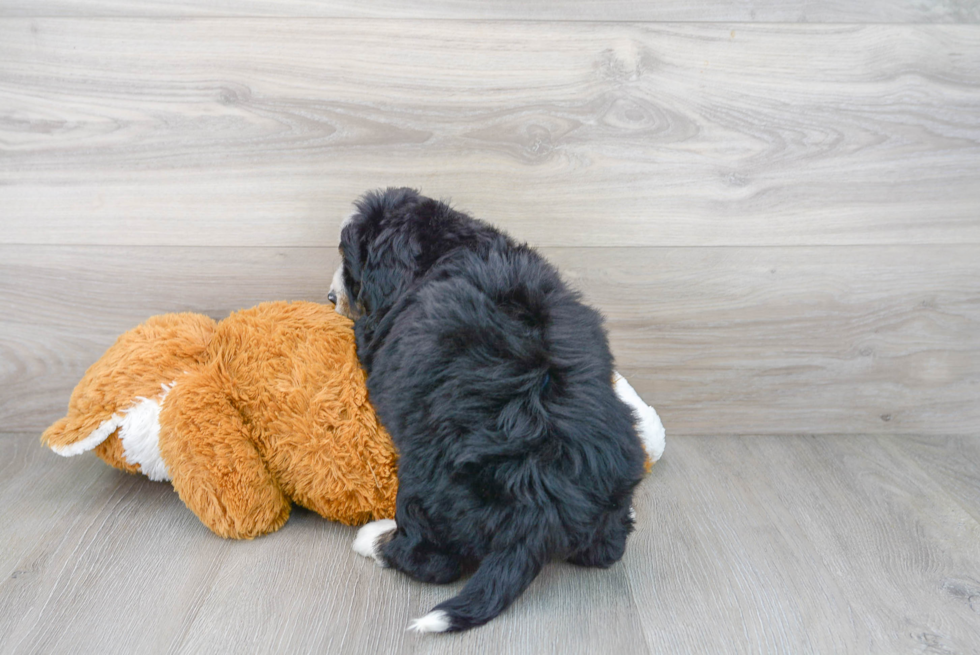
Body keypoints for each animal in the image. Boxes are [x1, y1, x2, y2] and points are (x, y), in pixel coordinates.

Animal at [332, 190, 652, 636]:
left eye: (348, 260)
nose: (331, 298)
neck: (450, 247)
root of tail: (540, 509)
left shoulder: (375, 335)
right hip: (618, 469)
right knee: (607, 548)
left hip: (424, 482)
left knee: (431, 560)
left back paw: (374, 539)